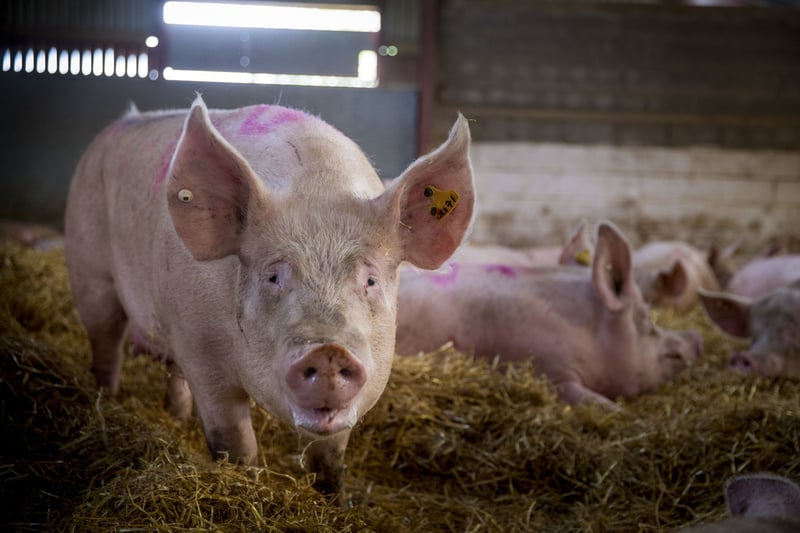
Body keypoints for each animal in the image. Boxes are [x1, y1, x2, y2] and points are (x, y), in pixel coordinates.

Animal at [65, 95, 476, 498]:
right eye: (273, 277)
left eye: (371, 281)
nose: (329, 351)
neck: (317, 188)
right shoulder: (200, 349)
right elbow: (234, 442)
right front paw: (245, 485)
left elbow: (329, 457)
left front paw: (334, 501)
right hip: (90, 271)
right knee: (106, 344)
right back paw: (107, 400)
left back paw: (175, 418)